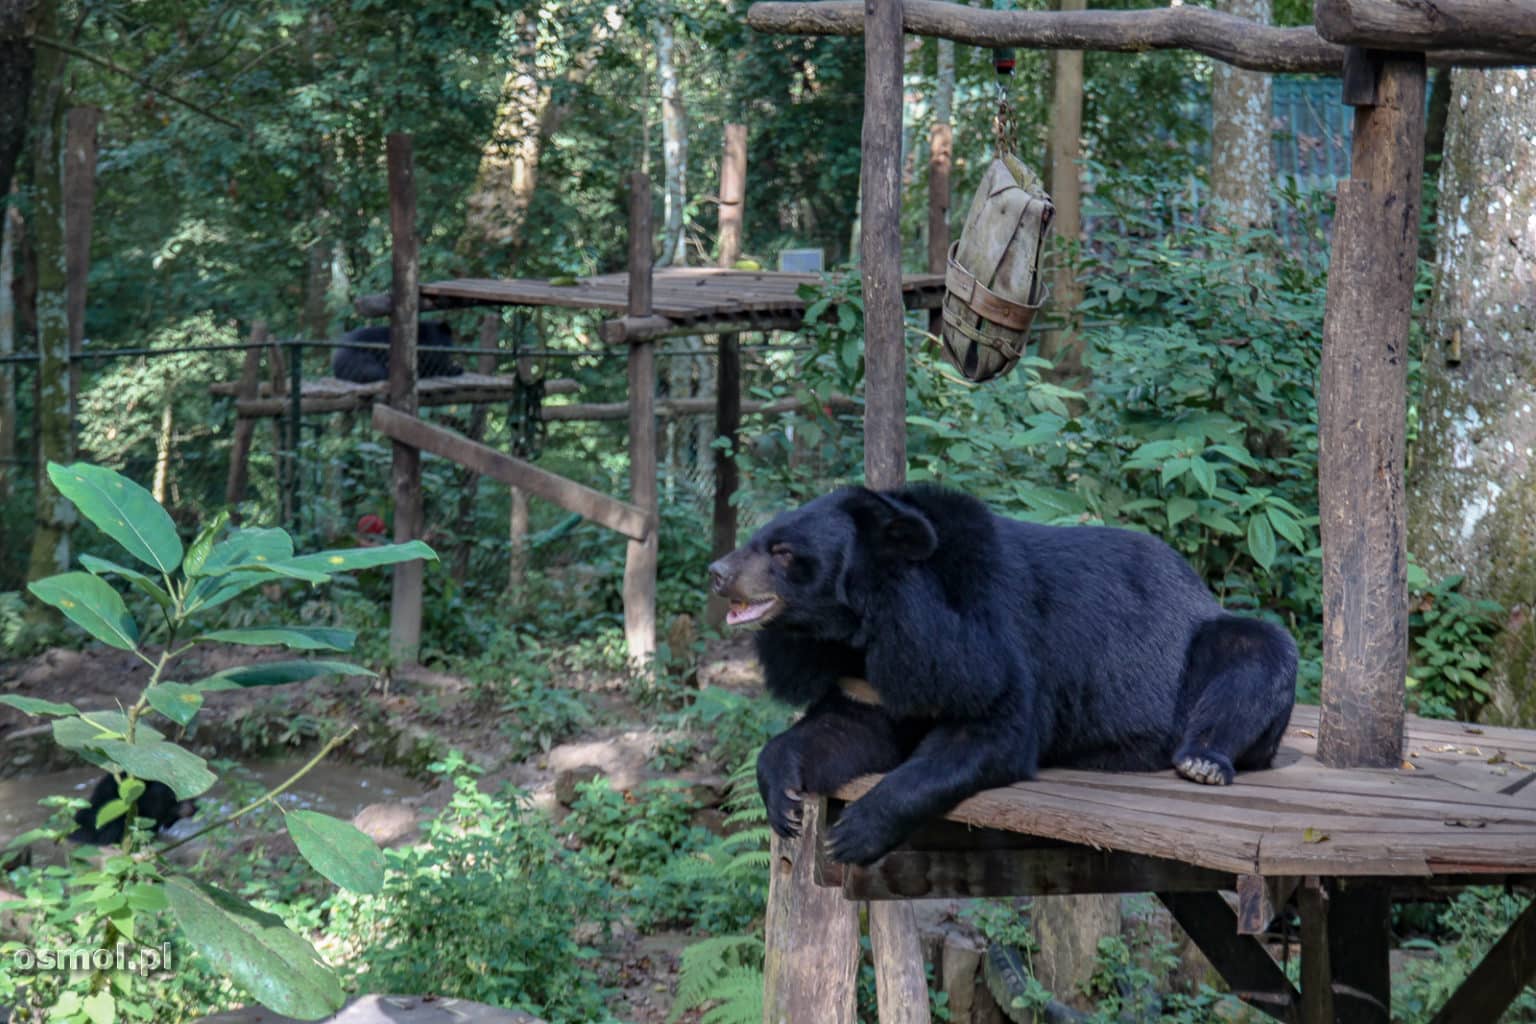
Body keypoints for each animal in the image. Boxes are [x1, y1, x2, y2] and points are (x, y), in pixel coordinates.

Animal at [330, 320, 460, 383]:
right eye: (441, 345)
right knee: (372, 370)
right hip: (356, 358)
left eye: (447, 345)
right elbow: (429, 367)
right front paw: (455, 369)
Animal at [706, 488, 1296, 865]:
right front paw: (782, 796)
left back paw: (1203, 761)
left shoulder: (983, 643)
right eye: (756, 540)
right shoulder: (865, 678)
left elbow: (993, 730)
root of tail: (1197, 588)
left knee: (1255, 650)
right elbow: (844, 727)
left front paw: (854, 833)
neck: (861, 632)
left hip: (1194, 650)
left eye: (783, 552)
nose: (717, 573)